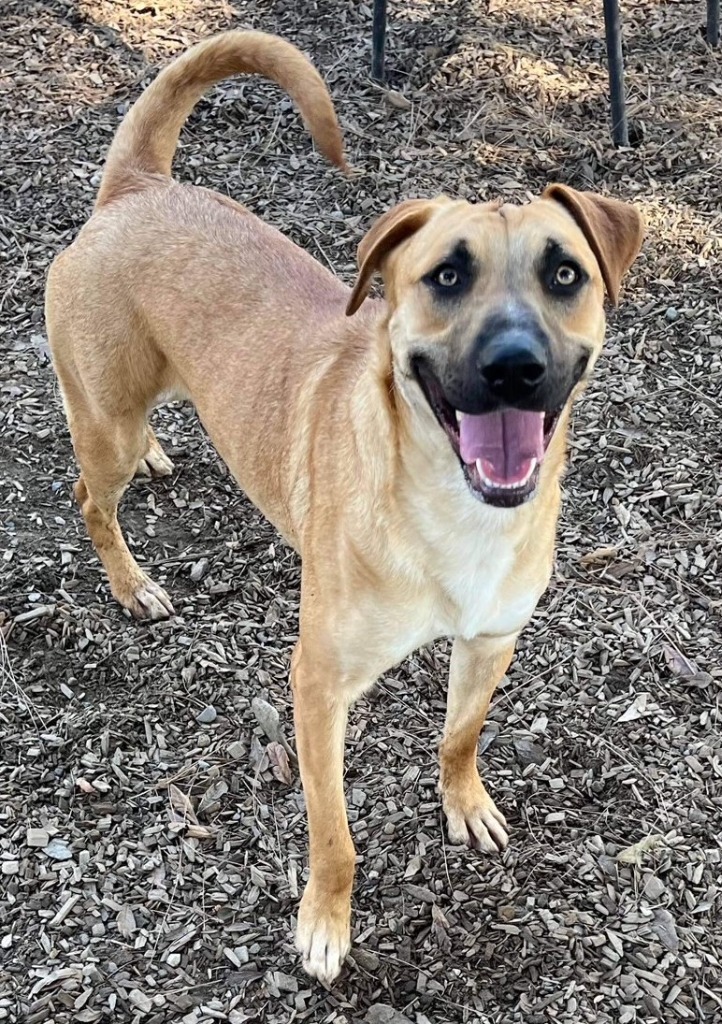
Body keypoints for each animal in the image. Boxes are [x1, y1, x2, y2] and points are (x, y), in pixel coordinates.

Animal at [45, 29, 643, 983]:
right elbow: (335, 835)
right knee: (91, 499)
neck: (452, 509)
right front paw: (325, 923)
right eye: (446, 275)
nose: (515, 365)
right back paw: (131, 584)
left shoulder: (491, 640)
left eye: (564, 273)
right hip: (105, 426)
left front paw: (464, 801)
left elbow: (460, 735)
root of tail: (137, 188)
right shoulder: (318, 685)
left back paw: (168, 452)